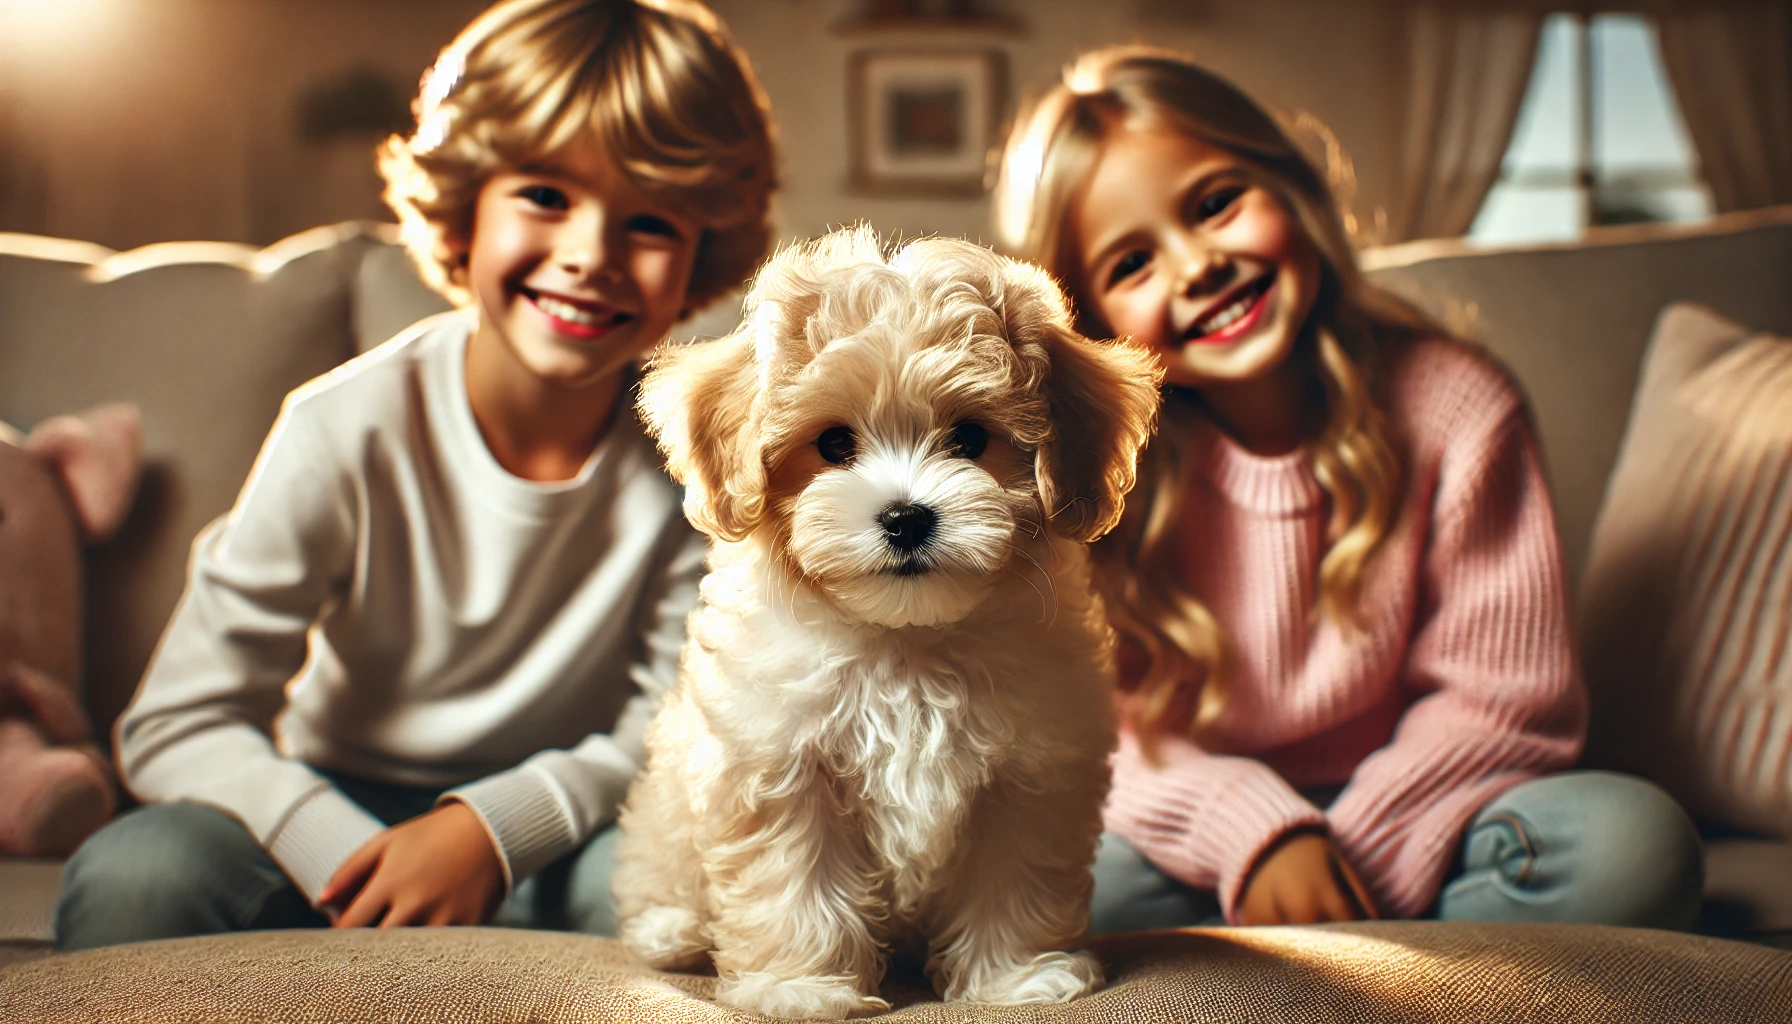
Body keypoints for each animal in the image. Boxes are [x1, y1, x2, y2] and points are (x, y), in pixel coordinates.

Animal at [616, 228, 1161, 1018]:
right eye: (833, 445)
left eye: (970, 438)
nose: (906, 517)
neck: (907, 643)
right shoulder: (781, 764)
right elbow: (795, 883)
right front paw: (802, 988)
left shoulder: (1028, 773)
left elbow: (1014, 876)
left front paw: (1017, 978)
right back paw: (674, 931)